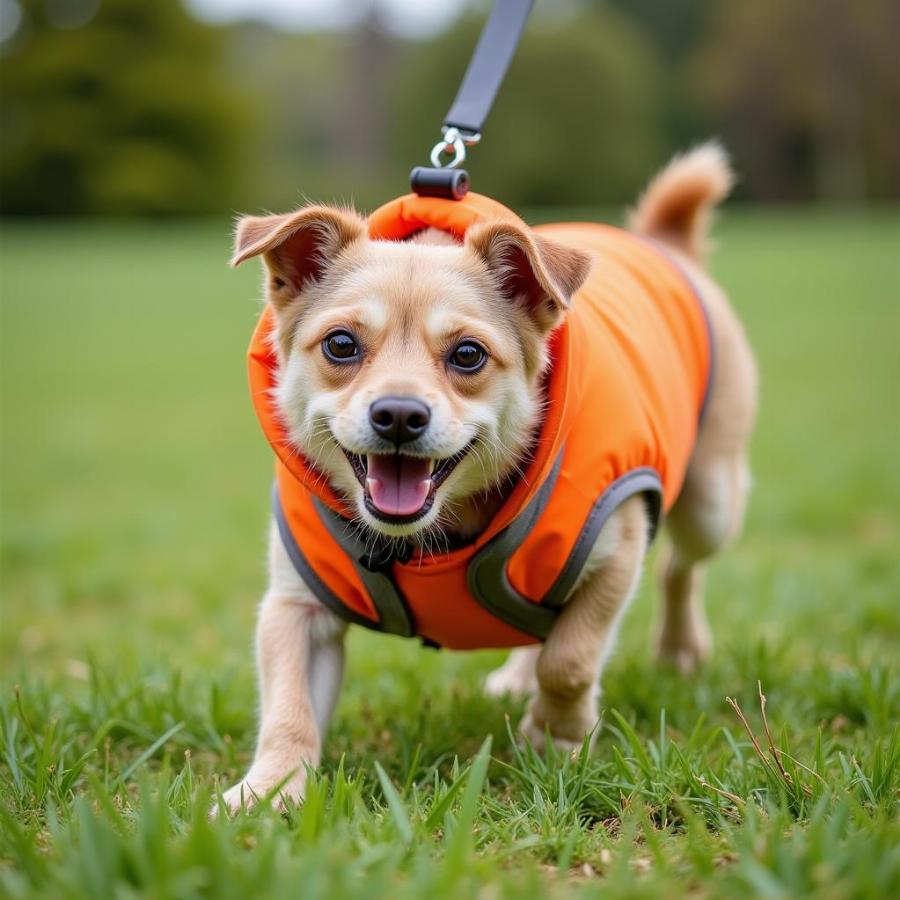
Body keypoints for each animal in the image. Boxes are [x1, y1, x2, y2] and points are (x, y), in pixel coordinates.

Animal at [220, 144, 760, 812]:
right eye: (340, 344)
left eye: (468, 354)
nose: (398, 414)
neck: (434, 537)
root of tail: (662, 239)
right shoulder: (296, 606)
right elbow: (288, 708)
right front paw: (266, 794)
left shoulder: (614, 553)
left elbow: (571, 660)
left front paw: (555, 738)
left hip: (711, 499)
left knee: (676, 569)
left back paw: (680, 649)